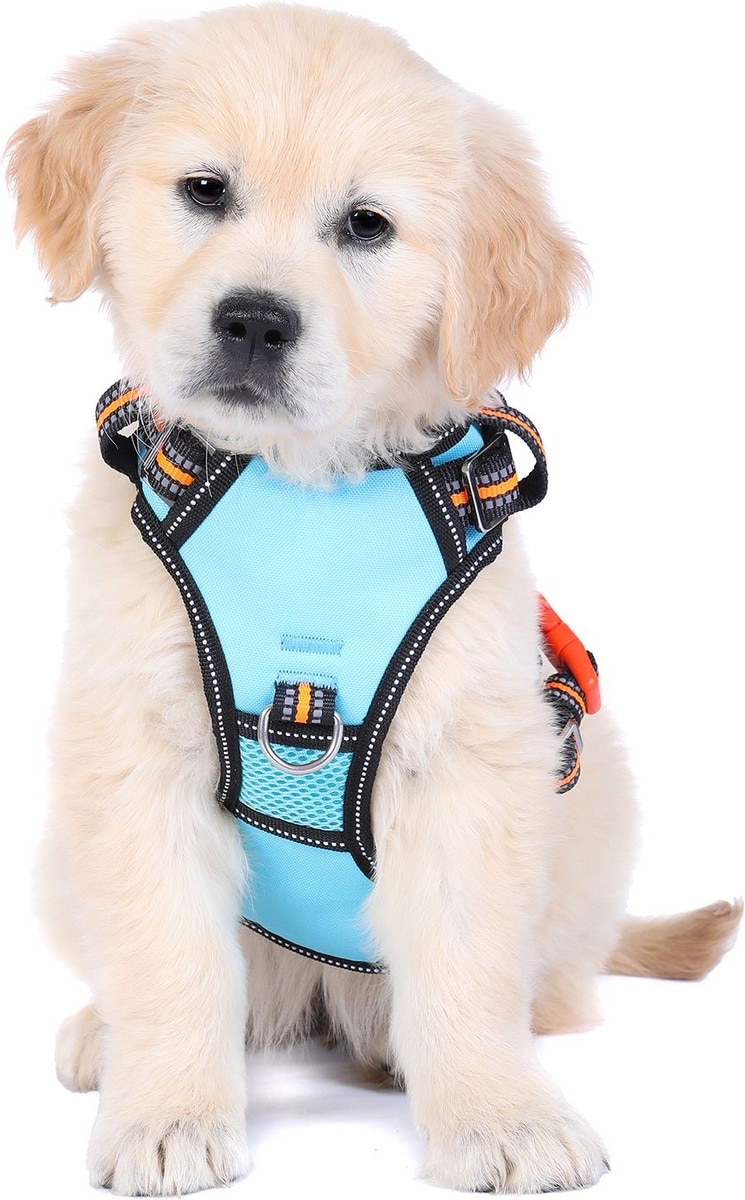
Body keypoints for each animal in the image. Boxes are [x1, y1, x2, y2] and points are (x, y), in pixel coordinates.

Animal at [7, 4, 741, 1195]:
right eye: (205, 190)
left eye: (365, 225)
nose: (255, 322)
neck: (304, 486)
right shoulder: (132, 752)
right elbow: (167, 955)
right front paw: (166, 1112)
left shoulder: (469, 764)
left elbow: (467, 963)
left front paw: (497, 1116)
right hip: (58, 855)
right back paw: (101, 1033)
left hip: (592, 796)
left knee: (538, 986)